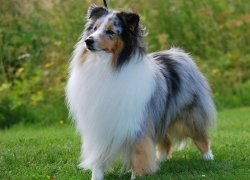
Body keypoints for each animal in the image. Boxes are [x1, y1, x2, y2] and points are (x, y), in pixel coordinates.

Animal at [65, 4, 216, 180]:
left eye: (110, 32)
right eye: (94, 29)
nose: (88, 41)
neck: (106, 66)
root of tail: (177, 53)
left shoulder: (138, 124)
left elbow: (138, 155)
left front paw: (136, 175)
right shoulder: (98, 126)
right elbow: (98, 157)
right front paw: (97, 176)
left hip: (187, 114)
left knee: (200, 135)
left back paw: (208, 157)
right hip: (161, 113)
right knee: (165, 141)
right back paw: (160, 160)